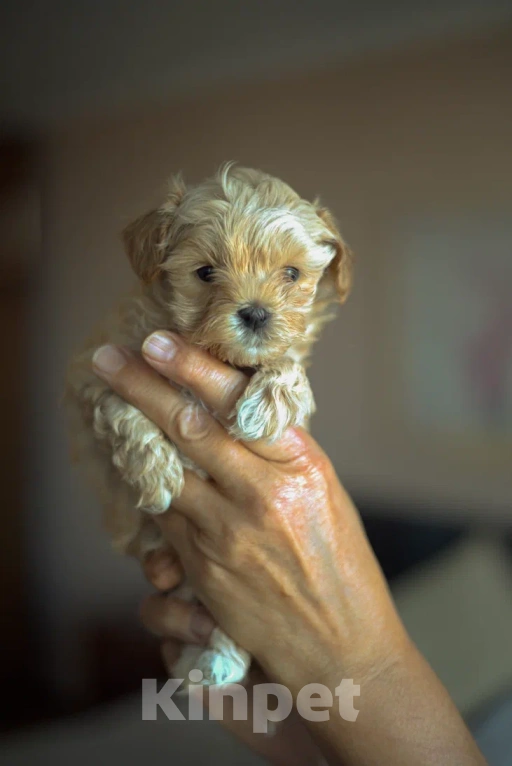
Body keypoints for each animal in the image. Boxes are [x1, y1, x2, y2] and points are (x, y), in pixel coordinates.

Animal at [66, 165, 354, 692]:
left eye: (291, 274)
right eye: (204, 273)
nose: (256, 312)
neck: (216, 357)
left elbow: (287, 364)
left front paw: (269, 399)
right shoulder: (97, 372)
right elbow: (123, 409)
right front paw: (157, 473)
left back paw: (220, 659)